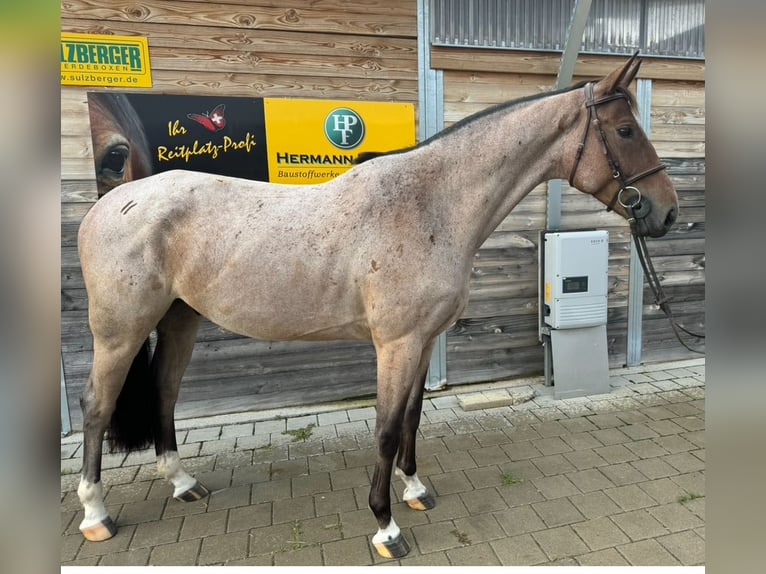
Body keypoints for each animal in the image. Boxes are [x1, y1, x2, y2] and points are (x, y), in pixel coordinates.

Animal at [76, 53, 680, 560]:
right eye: (625, 131)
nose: (668, 213)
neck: (429, 204)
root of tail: (108, 205)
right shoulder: (396, 343)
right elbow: (387, 429)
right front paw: (385, 526)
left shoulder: (425, 340)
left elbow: (412, 418)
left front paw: (415, 489)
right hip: (119, 332)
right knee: (96, 406)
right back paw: (95, 515)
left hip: (180, 319)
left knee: (165, 391)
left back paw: (182, 483)